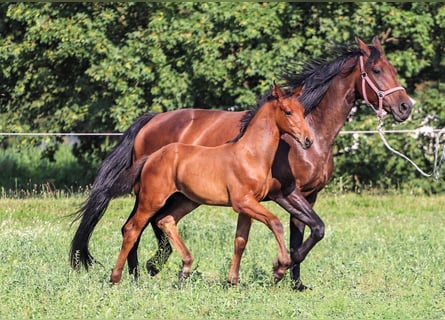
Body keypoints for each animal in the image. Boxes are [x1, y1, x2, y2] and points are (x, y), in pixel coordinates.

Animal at [69, 35, 412, 290]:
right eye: (377, 71)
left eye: (392, 68)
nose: (405, 107)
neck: (313, 132)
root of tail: (151, 119)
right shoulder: (285, 193)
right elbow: (313, 229)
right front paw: (278, 269)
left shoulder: (308, 195)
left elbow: (306, 232)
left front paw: (295, 282)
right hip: (153, 193)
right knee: (137, 226)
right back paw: (140, 273)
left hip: (182, 195)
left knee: (152, 223)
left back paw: (147, 271)